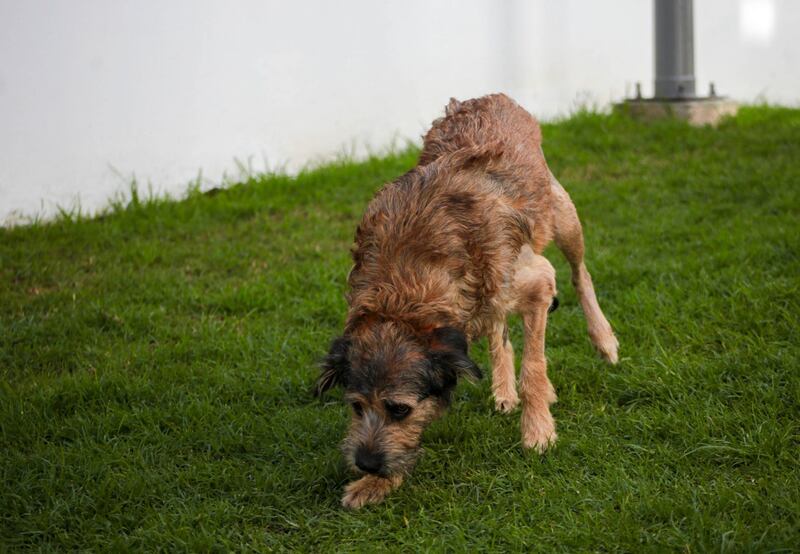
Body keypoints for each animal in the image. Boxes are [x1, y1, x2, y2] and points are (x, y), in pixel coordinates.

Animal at [316, 92, 616, 506]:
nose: (366, 464)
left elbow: (534, 367)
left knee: (579, 274)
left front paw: (538, 430)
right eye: (356, 406)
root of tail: (491, 97)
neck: (406, 288)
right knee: (499, 326)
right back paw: (504, 389)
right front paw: (375, 485)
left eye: (400, 409)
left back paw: (603, 339)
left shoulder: (537, 281)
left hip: (561, 214)